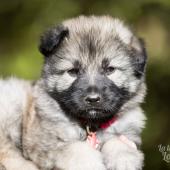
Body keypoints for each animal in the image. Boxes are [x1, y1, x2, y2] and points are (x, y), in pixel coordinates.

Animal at [0, 15, 146, 170]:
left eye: (110, 69)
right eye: (73, 71)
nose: (93, 99)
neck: (91, 125)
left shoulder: (128, 133)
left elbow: (117, 142)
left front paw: (124, 159)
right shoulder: (45, 144)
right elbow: (77, 149)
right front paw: (92, 163)